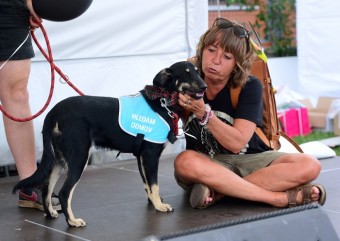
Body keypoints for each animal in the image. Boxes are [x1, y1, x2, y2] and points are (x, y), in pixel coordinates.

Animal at [11, 61, 206, 227]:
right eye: (186, 74)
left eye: (197, 72)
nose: (204, 86)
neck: (162, 100)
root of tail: (54, 112)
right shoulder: (151, 155)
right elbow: (154, 184)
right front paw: (159, 206)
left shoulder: (141, 156)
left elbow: (147, 185)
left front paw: (153, 203)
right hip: (79, 157)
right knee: (65, 193)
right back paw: (72, 221)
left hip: (58, 160)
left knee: (47, 188)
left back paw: (50, 212)